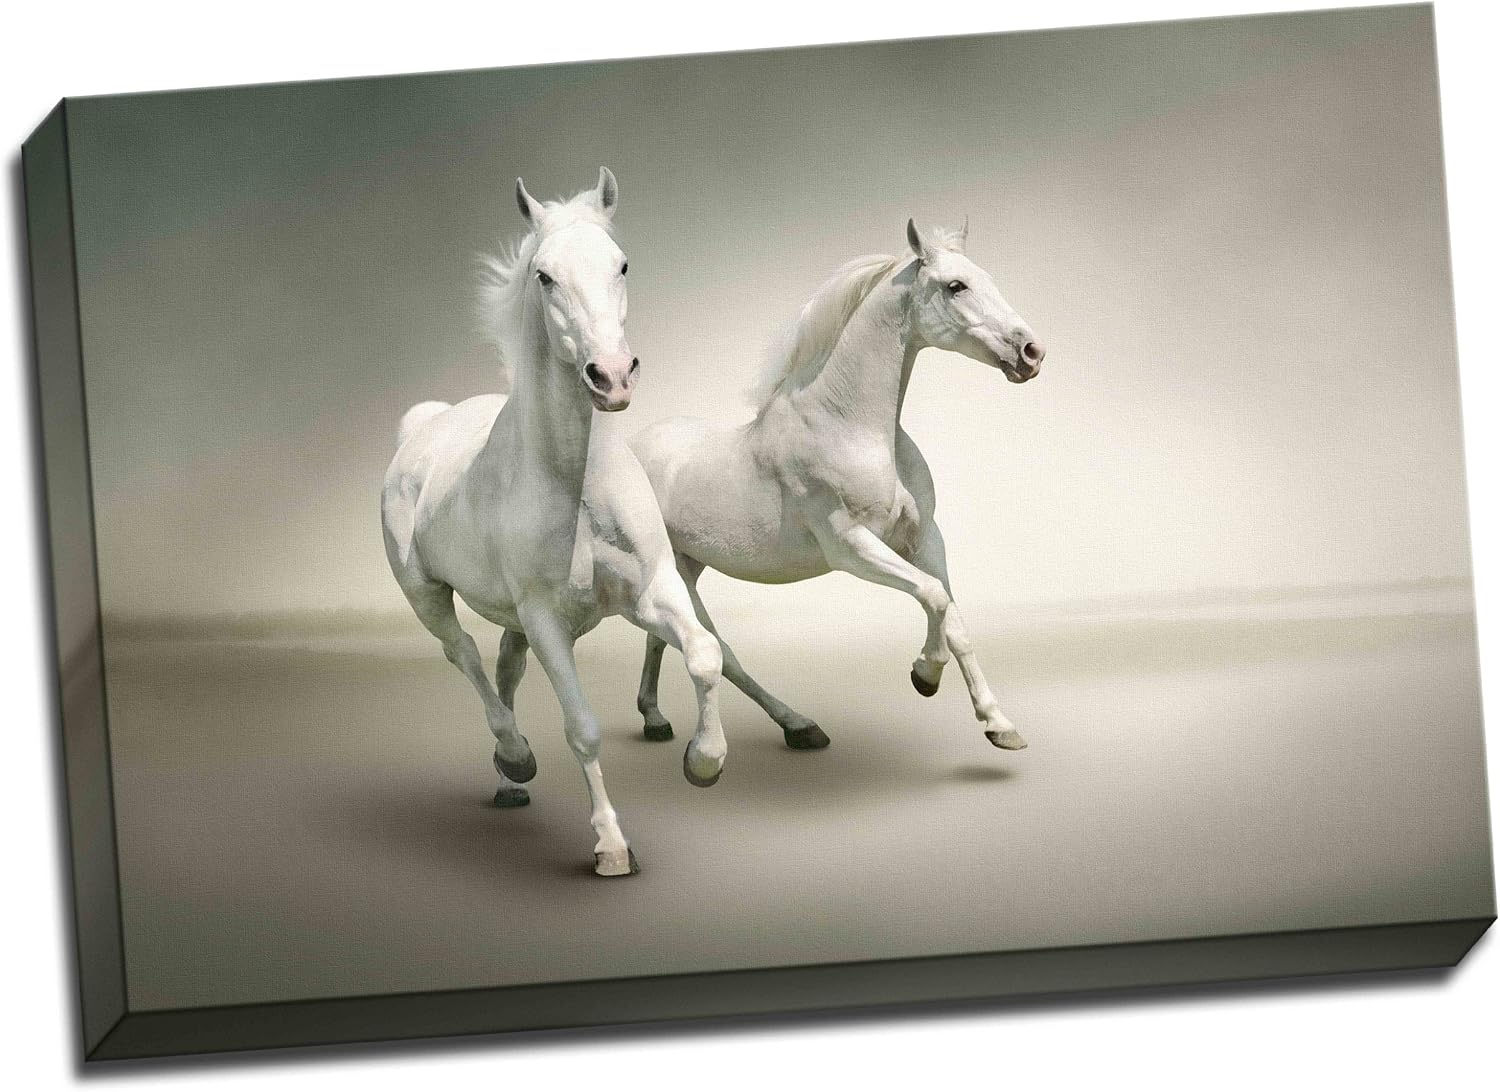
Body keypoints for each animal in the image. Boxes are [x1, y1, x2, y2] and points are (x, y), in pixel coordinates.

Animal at [381, 168, 727, 877]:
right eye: (544, 276)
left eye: (622, 263)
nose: (612, 376)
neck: (576, 487)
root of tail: (423, 426)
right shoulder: (546, 621)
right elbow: (582, 729)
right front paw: (611, 847)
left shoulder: (651, 591)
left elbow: (705, 655)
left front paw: (703, 761)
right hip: (426, 593)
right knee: (463, 655)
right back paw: (515, 757)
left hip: (511, 619)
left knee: (503, 669)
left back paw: (509, 779)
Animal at [630, 219, 1045, 755]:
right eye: (956, 286)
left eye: (985, 277)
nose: (1031, 352)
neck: (850, 427)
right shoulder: (850, 547)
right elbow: (933, 596)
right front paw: (925, 674)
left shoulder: (924, 538)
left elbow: (954, 619)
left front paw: (999, 724)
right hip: (675, 571)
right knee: (716, 648)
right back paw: (796, 725)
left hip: (686, 566)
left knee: (663, 636)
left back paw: (657, 718)